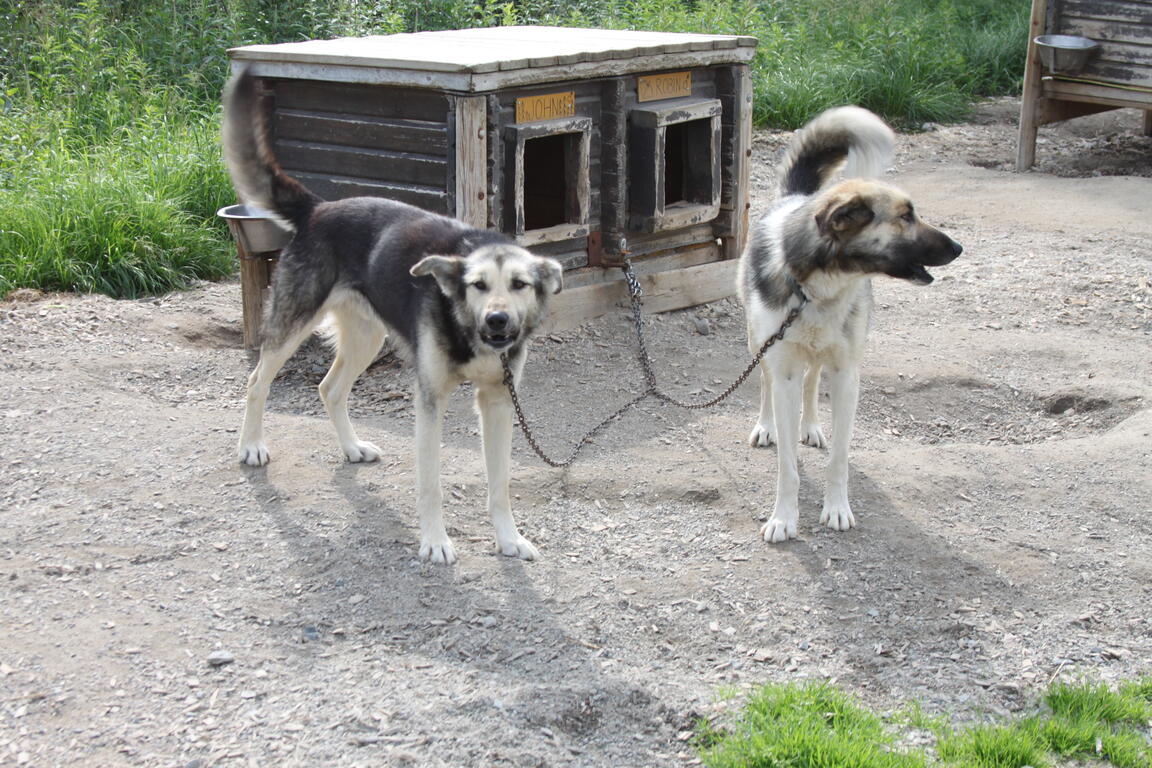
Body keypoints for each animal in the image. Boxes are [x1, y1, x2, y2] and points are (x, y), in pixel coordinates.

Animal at [220, 67, 562, 564]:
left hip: (367, 339)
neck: (467, 330)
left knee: (329, 388)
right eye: (477, 285)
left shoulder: (498, 402)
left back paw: (350, 448)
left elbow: (499, 484)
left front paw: (508, 538)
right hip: (292, 326)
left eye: (519, 284)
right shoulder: (430, 402)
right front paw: (435, 541)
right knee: (256, 382)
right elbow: (431, 483)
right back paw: (251, 447)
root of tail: (319, 208)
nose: (497, 321)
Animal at [737, 105, 963, 543]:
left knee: (812, 382)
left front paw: (837, 508)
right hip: (759, 342)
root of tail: (795, 196)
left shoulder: (846, 375)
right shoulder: (783, 367)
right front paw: (783, 518)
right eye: (905, 216)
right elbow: (787, 466)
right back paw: (766, 426)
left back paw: (811, 426)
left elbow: (839, 457)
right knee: (766, 383)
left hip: (822, 355)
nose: (959, 247)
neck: (822, 287)